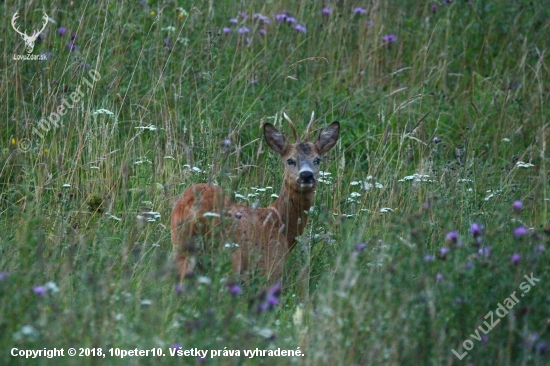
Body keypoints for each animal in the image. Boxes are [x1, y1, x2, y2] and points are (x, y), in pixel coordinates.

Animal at [171, 113, 340, 284]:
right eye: (290, 160)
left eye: (317, 159)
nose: (306, 175)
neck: (280, 224)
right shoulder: (271, 266)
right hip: (229, 255)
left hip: (180, 248)